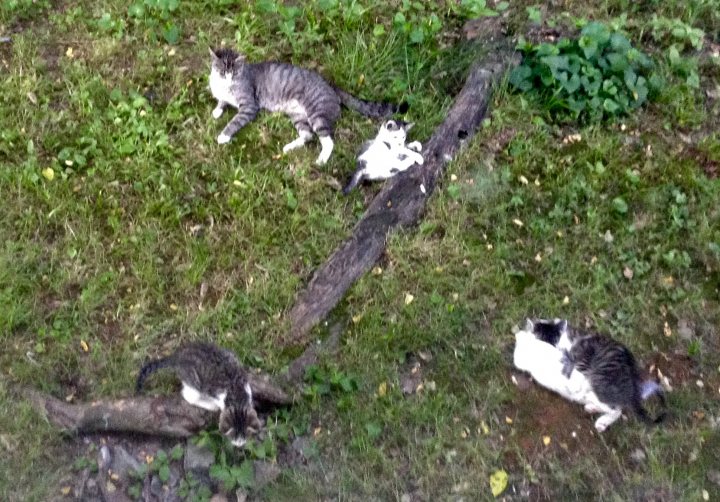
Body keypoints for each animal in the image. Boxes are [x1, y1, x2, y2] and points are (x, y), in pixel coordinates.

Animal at [211, 47, 408, 165]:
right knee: (307, 135)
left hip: (317, 114)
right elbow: (221, 101)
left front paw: (223, 136)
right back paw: (288, 147)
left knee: (328, 140)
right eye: (221, 72)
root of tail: (332, 86)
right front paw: (217, 111)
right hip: (297, 115)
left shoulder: (249, 106)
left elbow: (235, 121)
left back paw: (321, 160)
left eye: (234, 73)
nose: (228, 78)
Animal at [516, 318, 668, 432]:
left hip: (601, 380)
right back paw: (593, 408)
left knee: (617, 409)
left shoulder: (583, 356)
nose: (558, 350)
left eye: (554, 339)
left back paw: (602, 421)